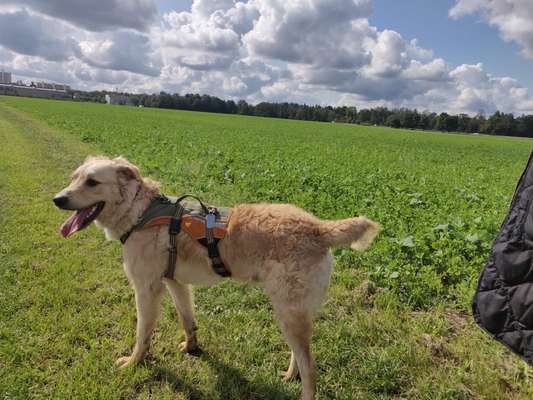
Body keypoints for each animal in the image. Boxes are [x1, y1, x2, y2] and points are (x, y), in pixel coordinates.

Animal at [53, 155, 378, 400]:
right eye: (73, 178)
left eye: (92, 182)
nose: (57, 199)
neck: (140, 211)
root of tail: (318, 227)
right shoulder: (176, 283)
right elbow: (188, 320)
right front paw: (191, 348)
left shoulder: (146, 289)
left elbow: (142, 335)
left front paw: (134, 363)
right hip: (293, 312)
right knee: (299, 356)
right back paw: (289, 375)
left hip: (288, 311)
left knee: (311, 366)